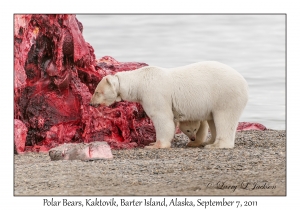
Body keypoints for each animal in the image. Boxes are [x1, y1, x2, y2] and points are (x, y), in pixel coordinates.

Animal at [89, 60, 248, 149]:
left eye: (96, 92)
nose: (91, 103)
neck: (140, 80)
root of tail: (244, 83)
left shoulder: (154, 94)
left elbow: (162, 118)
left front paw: (154, 145)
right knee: (213, 119)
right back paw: (208, 141)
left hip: (224, 94)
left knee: (224, 118)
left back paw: (216, 145)